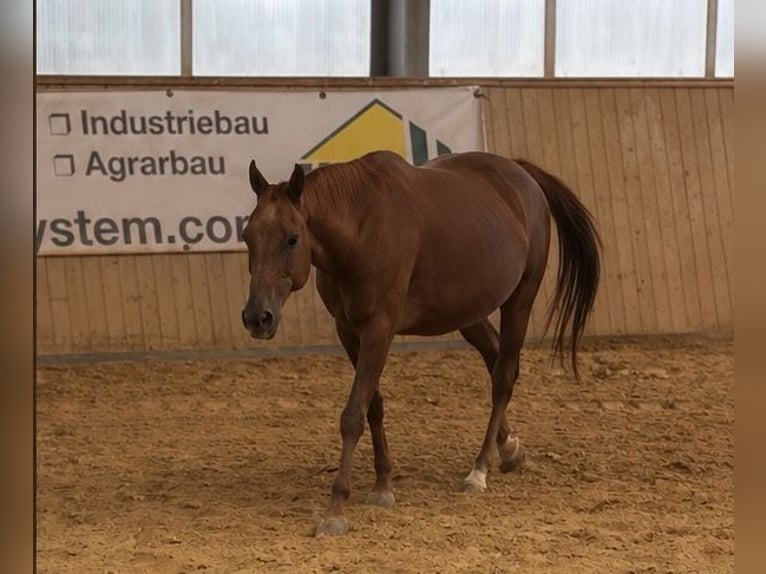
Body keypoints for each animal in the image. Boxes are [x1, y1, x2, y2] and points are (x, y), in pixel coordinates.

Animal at [240, 150, 601, 536]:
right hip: (468, 312)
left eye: (292, 238)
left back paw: (480, 469)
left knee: (504, 377)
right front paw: (383, 484)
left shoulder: (379, 329)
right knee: (496, 360)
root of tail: (519, 172)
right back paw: (509, 448)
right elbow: (373, 406)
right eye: (247, 236)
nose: (257, 317)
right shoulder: (348, 331)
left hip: (520, 299)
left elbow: (353, 415)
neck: (361, 228)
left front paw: (335, 509)